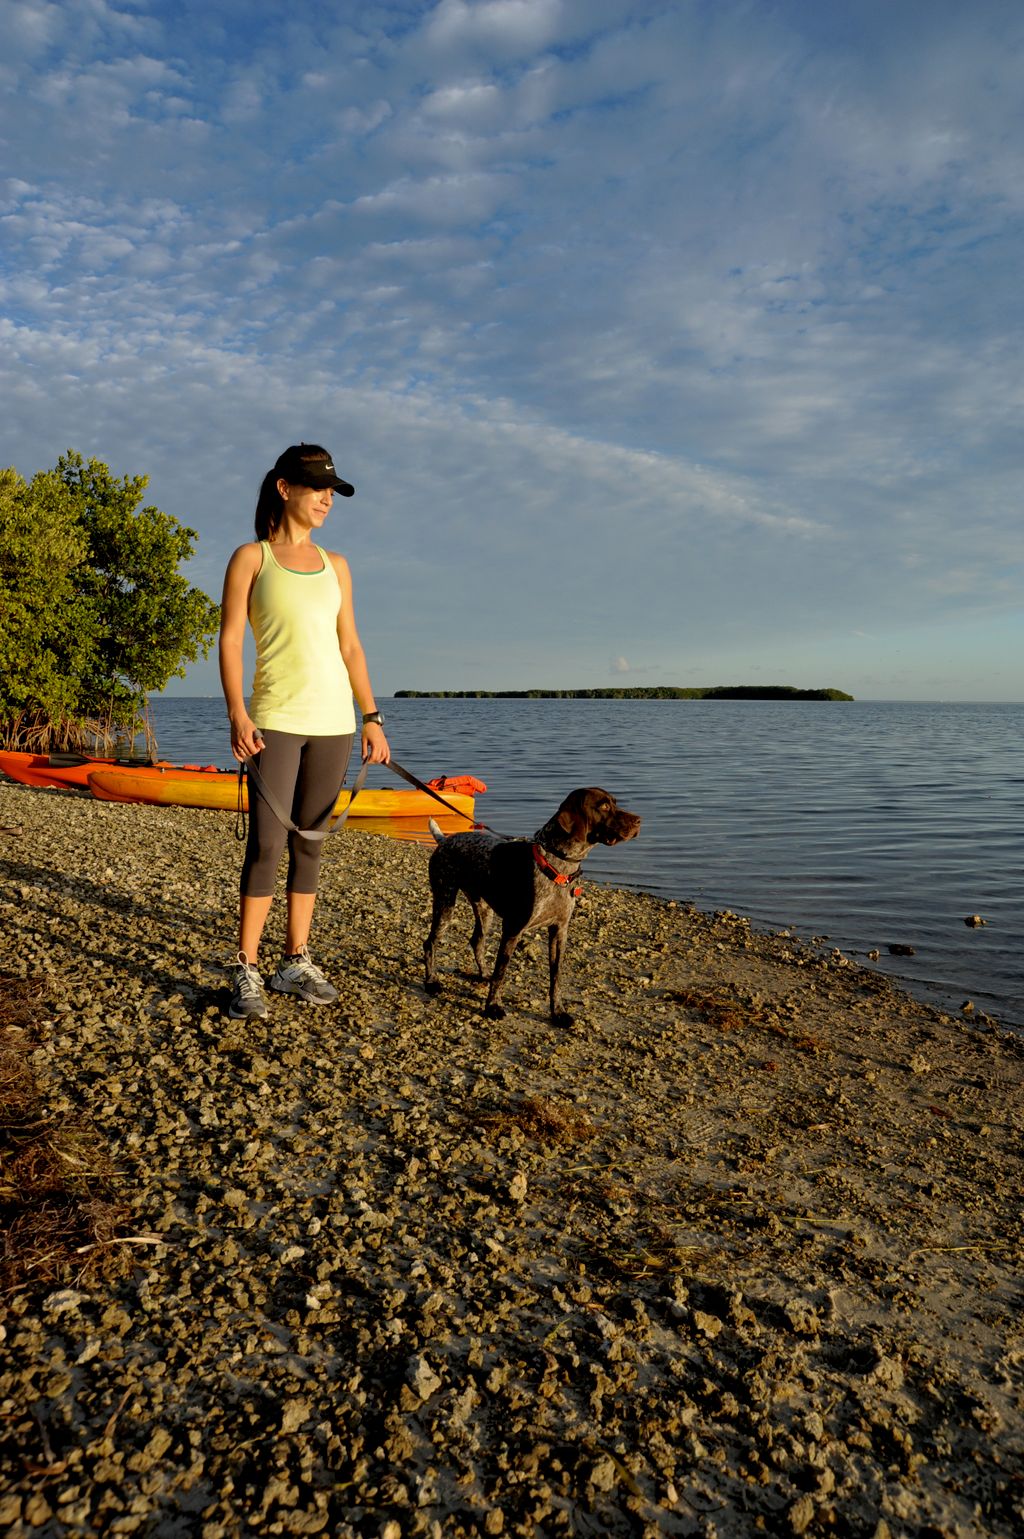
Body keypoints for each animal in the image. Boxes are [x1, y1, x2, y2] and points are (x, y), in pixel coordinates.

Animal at [421, 794, 640, 1021]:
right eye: (604, 806)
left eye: (614, 803)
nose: (639, 821)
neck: (557, 865)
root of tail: (444, 839)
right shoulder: (513, 929)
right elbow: (501, 973)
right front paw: (493, 1007)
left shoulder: (559, 930)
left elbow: (556, 977)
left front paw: (558, 1012)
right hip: (445, 902)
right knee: (430, 943)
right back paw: (432, 982)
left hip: (483, 909)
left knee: (477, 941)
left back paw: (483, 974)